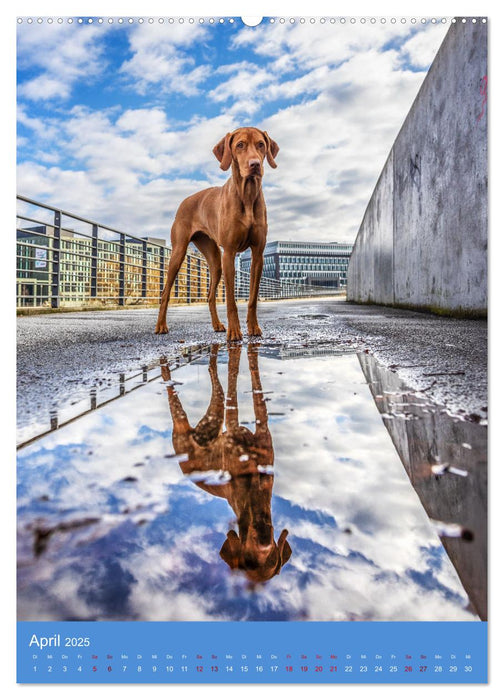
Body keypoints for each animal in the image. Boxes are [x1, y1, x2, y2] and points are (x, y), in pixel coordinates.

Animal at [155, 130, 280, 344]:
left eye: (261, 144)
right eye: (240, 145)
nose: (255, 164)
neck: (247, 195)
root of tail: (185, 201)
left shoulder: (258, 254)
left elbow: (252, 298)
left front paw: (253, 328)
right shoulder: (229, 252)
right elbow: (230, 300)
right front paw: (235, 332)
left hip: (214, 260)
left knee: (210, 295)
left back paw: (217, 325)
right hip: (178, 253)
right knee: (165, 292)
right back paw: (161, 326)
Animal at [163, 342, 292, 584]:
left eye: (272, 559)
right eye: (249, 557)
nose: (263, 540)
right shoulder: (232, 428)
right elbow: (235, 383)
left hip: (213, 415)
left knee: (216, 380)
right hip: (184, 422)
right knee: (174, 394)